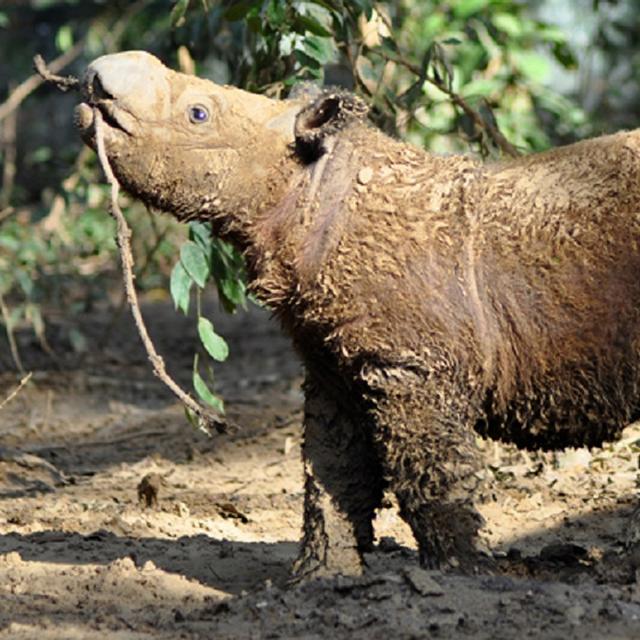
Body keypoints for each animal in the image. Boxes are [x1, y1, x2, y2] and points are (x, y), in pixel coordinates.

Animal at [75, 51, 640, 578]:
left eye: (198, 114)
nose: (97, 77)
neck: (311, 186)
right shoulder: (332, 359)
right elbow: (331, 469)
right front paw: (319, 577)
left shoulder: (412, 366)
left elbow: (430, 476)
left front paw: (463, 575)